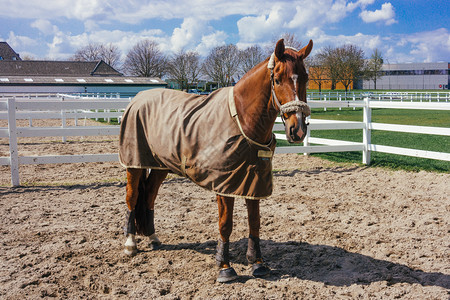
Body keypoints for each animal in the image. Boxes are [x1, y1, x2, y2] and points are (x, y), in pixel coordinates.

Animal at [118, 38, 312, 282]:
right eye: (277, 79)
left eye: (305, 78)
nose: (298, 130)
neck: (241, 118)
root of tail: (138, 98)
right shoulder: (224, 185)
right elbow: (225, 224)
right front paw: (225, 267)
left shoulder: (253, 182)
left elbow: (255, 222)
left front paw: (257, 263)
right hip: (134, 164)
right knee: (132, 197)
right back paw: (130, 243)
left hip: (160, 165)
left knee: (150, 196)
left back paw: (153, 238)